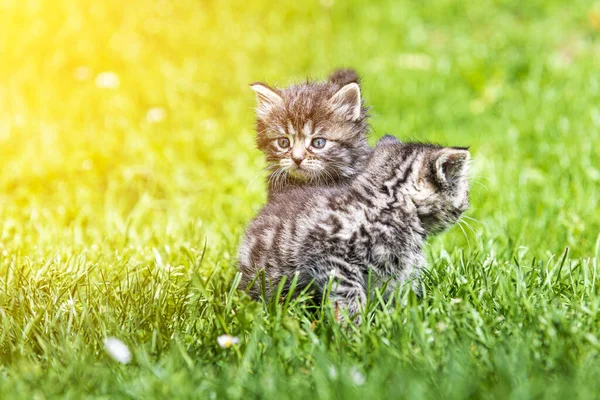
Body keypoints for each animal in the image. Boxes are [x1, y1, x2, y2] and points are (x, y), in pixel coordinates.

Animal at [237, 136, 472, 320]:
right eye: (464, 192)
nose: (466, 204)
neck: (386, 204)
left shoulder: (399, 274)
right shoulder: (330, 258)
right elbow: (348, 297)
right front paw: (354, 331)